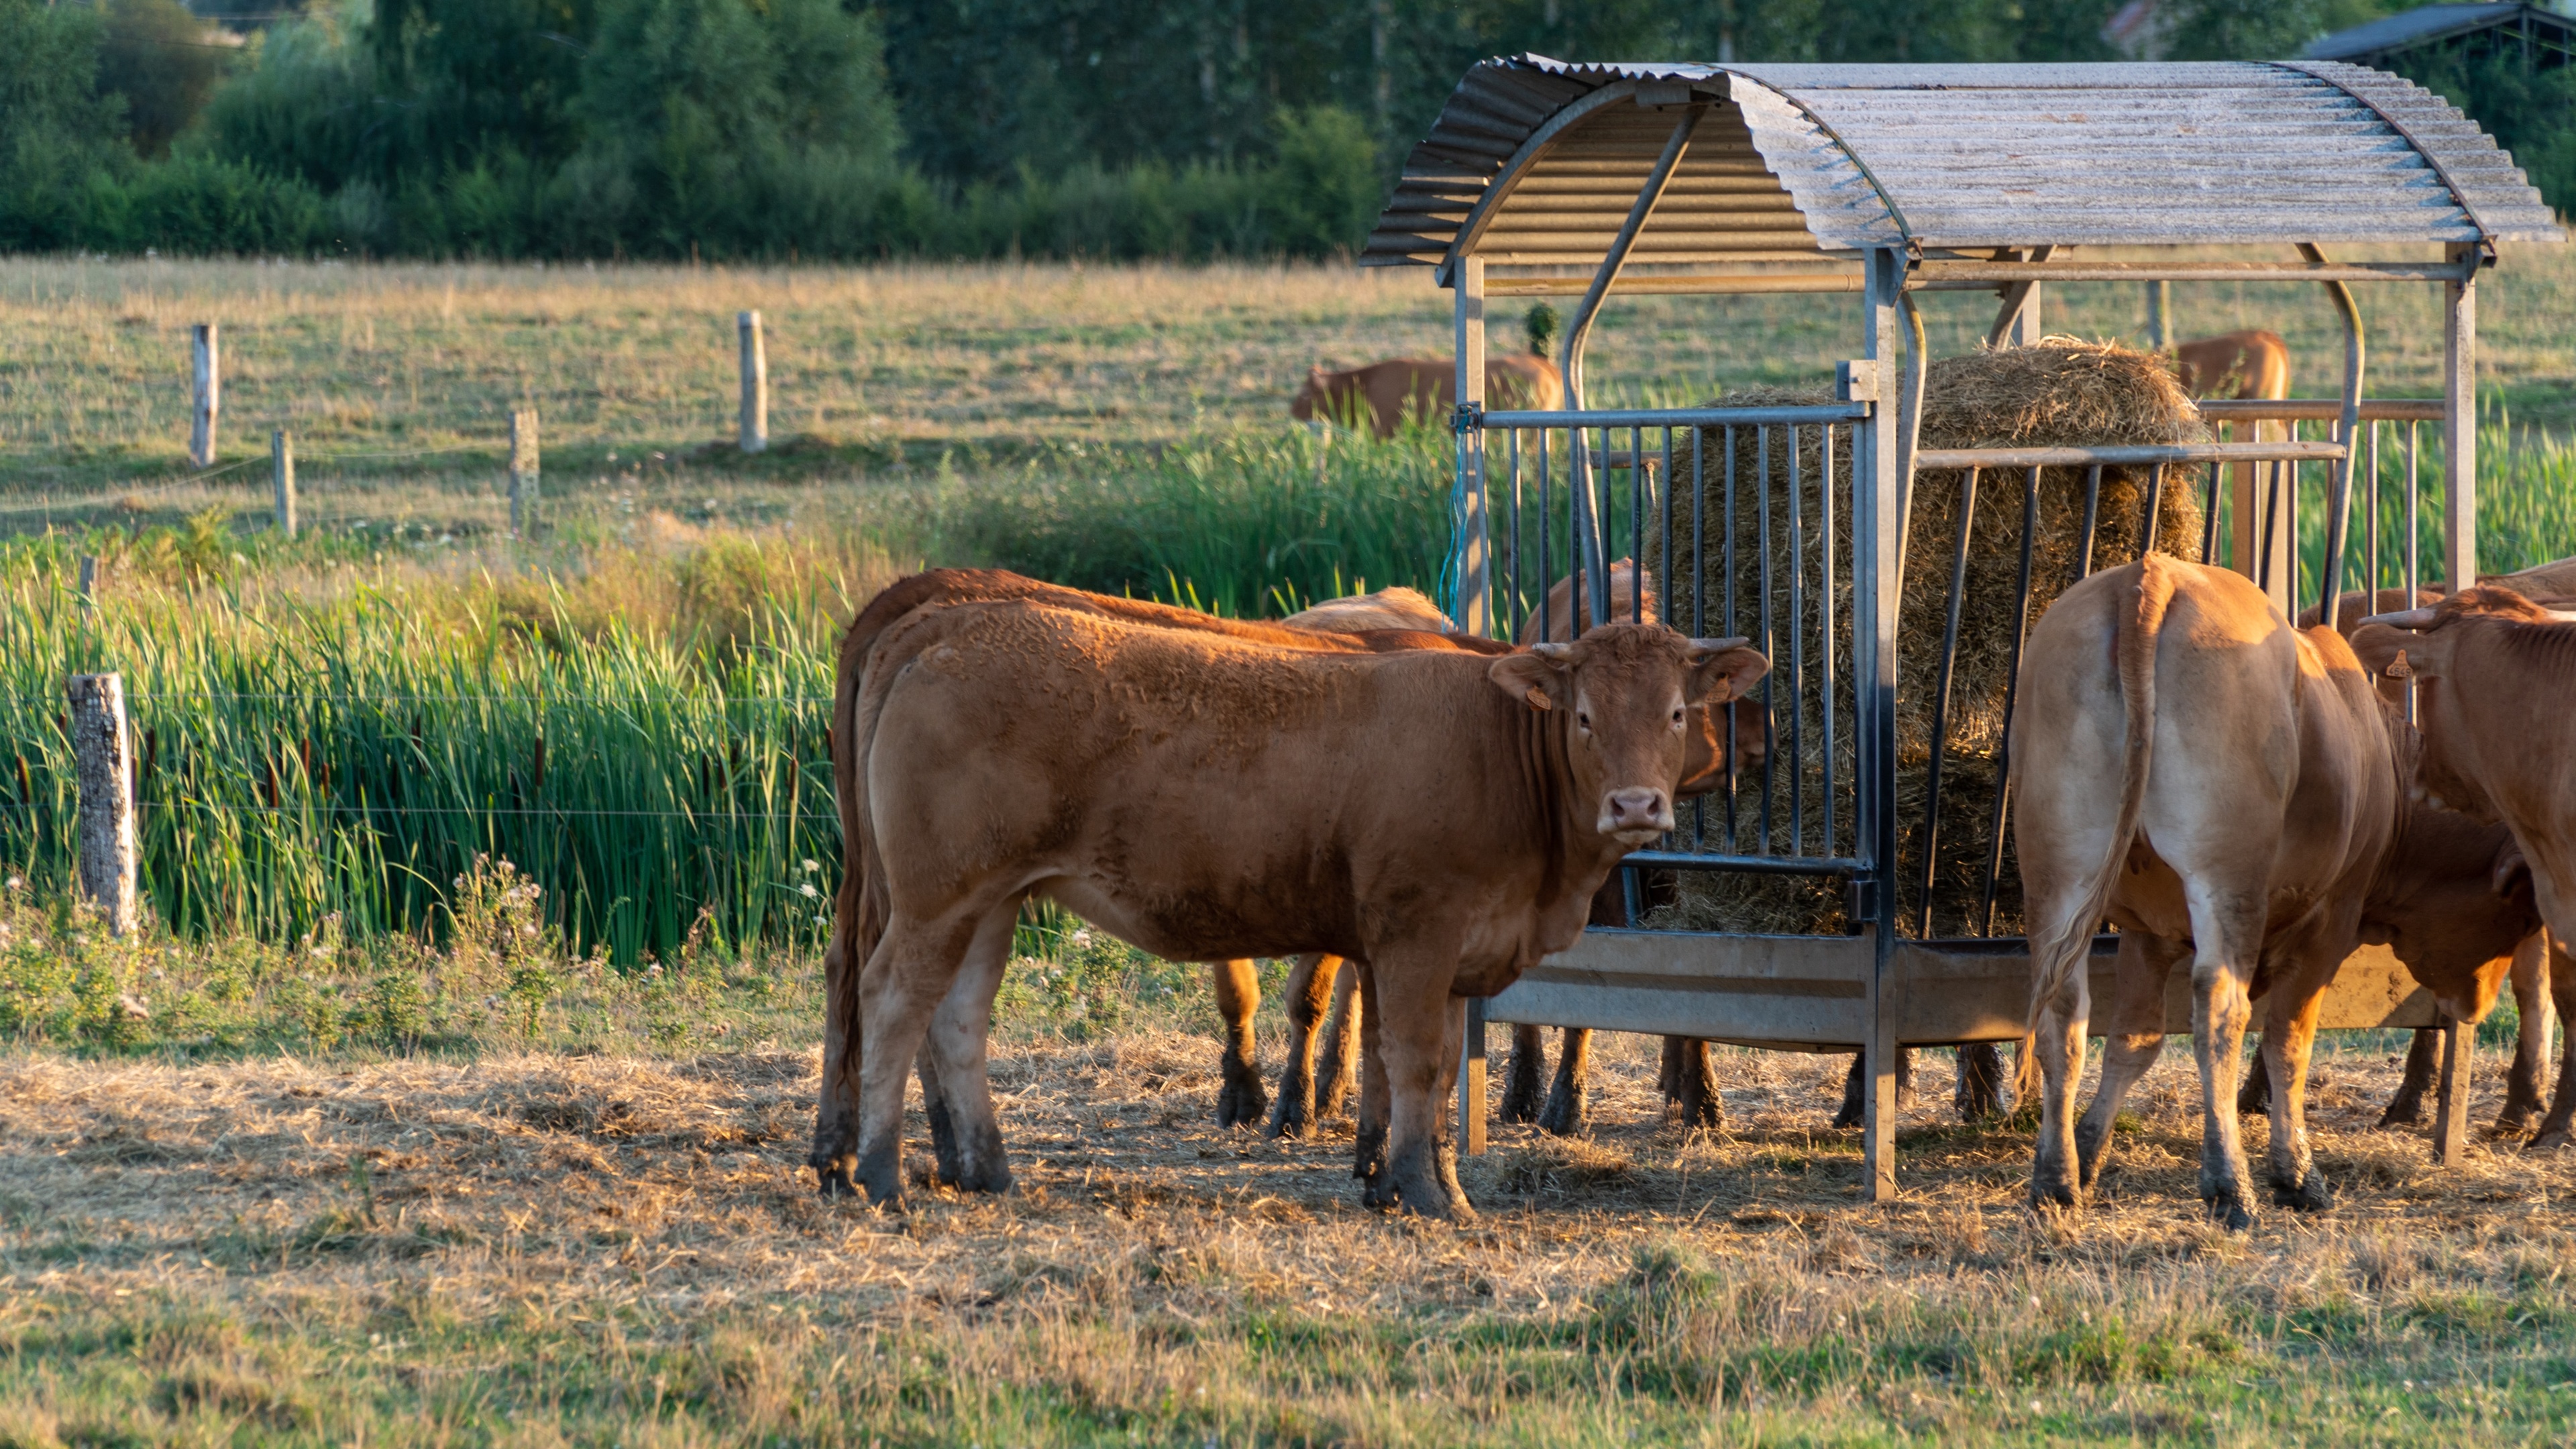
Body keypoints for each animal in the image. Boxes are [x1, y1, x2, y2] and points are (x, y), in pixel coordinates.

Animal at [845, 598, 1772, 1206]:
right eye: (1582, 716)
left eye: (1678, 711)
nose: (1635, 806)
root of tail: (948, 628)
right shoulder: (1419, 935)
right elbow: (1414, 1062)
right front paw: (1426, 1193)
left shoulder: (1455, 951)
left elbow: (1430, 1073)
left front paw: (1408, 1183)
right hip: (938, 898)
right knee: (892, 1001)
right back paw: (881, 1175)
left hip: (990, 900)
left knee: (958, 1019)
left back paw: (990, 1171)